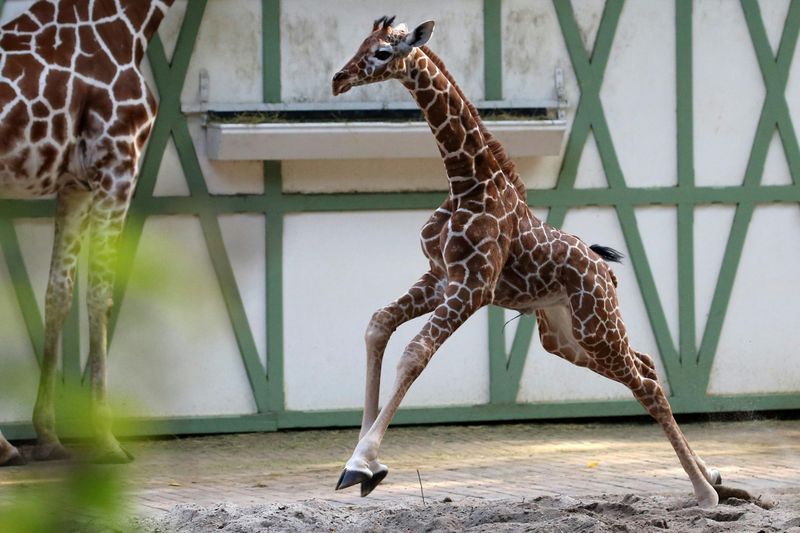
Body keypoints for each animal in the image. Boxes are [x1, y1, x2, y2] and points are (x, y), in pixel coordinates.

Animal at [0, 0, 175, 466]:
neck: (128, 25)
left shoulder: (74, 186)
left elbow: (58, 294)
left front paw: (48, 435)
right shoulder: (118, 165)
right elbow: (100, 295)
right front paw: (106, 437)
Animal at [331, 16, 725, 508]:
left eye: (383, 53)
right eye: (361, 43)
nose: (338, 79)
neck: (467, 181)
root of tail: (606, 272)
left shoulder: (473, 286)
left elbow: (415, 353)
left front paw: (362, 463)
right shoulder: (440, 278)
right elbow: (378, 325)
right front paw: (363, 465)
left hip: (596, 329)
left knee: (648, 385)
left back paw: (705, 494)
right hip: (566, 338)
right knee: (647, 366)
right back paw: (712, 476)